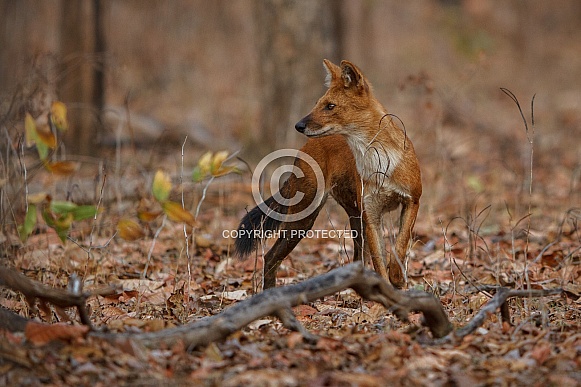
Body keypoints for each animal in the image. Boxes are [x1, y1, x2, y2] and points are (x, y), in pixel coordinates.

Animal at [233, 60, 420, 290]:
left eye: (330, 106)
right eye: (317, 103)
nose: (298, 125)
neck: (379, 161)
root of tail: (304, 147)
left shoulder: (412, 200)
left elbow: (401, 242)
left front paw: (397, 276)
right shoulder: (372, 214)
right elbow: (379, 261)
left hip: (352, 218)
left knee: (358, 257)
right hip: (305, 217)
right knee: (270, 256)